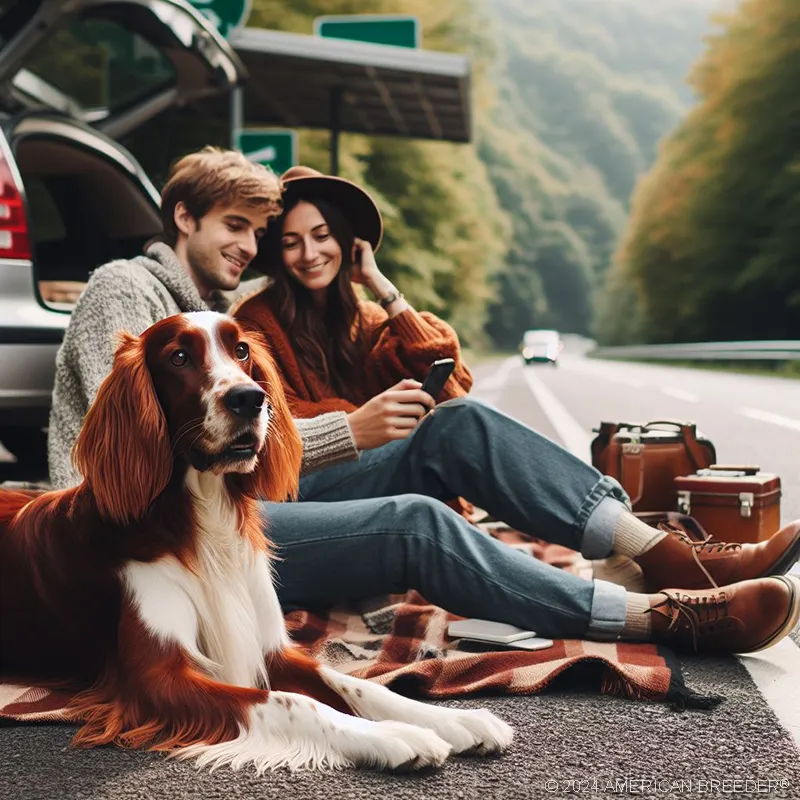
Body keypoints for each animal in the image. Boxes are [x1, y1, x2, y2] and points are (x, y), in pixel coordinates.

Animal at [0, 314, 512, 776]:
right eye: (179, 358)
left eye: (242, 350)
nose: (249, 398)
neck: (204, 515)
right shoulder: (158, 678)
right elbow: (293, 703)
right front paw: (393, 736)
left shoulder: (272, 648)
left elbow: (359, 685)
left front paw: (452, 720)